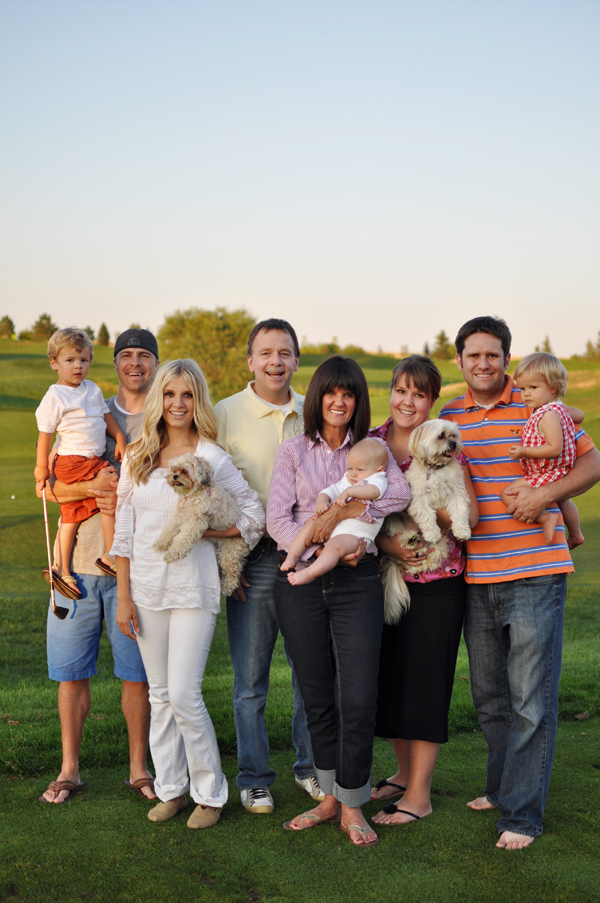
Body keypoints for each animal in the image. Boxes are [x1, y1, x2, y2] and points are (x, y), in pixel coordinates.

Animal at [153, 454, 249, 597]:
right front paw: (161, 542)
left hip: (229, 555)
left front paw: (172, 553)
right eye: (174, 470)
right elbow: (169, 529)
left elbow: (182, 539)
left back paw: (224, 588)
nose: (174, 476)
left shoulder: (195, 522)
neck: (193, 494)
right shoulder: (180, 515)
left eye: (184, 471)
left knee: (233, 576)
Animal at [379, 419, 470, 624]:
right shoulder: (418, 500)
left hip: (440, 547)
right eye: (441, 436)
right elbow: (427, 515)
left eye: (454, 435)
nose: (454, 444)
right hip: (394, 519)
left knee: (428, 559)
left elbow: (460, 511)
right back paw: (410, 539)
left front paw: (462, 531)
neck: (435, 469)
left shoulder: (458, 493)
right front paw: (432, 532)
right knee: (401, 539)